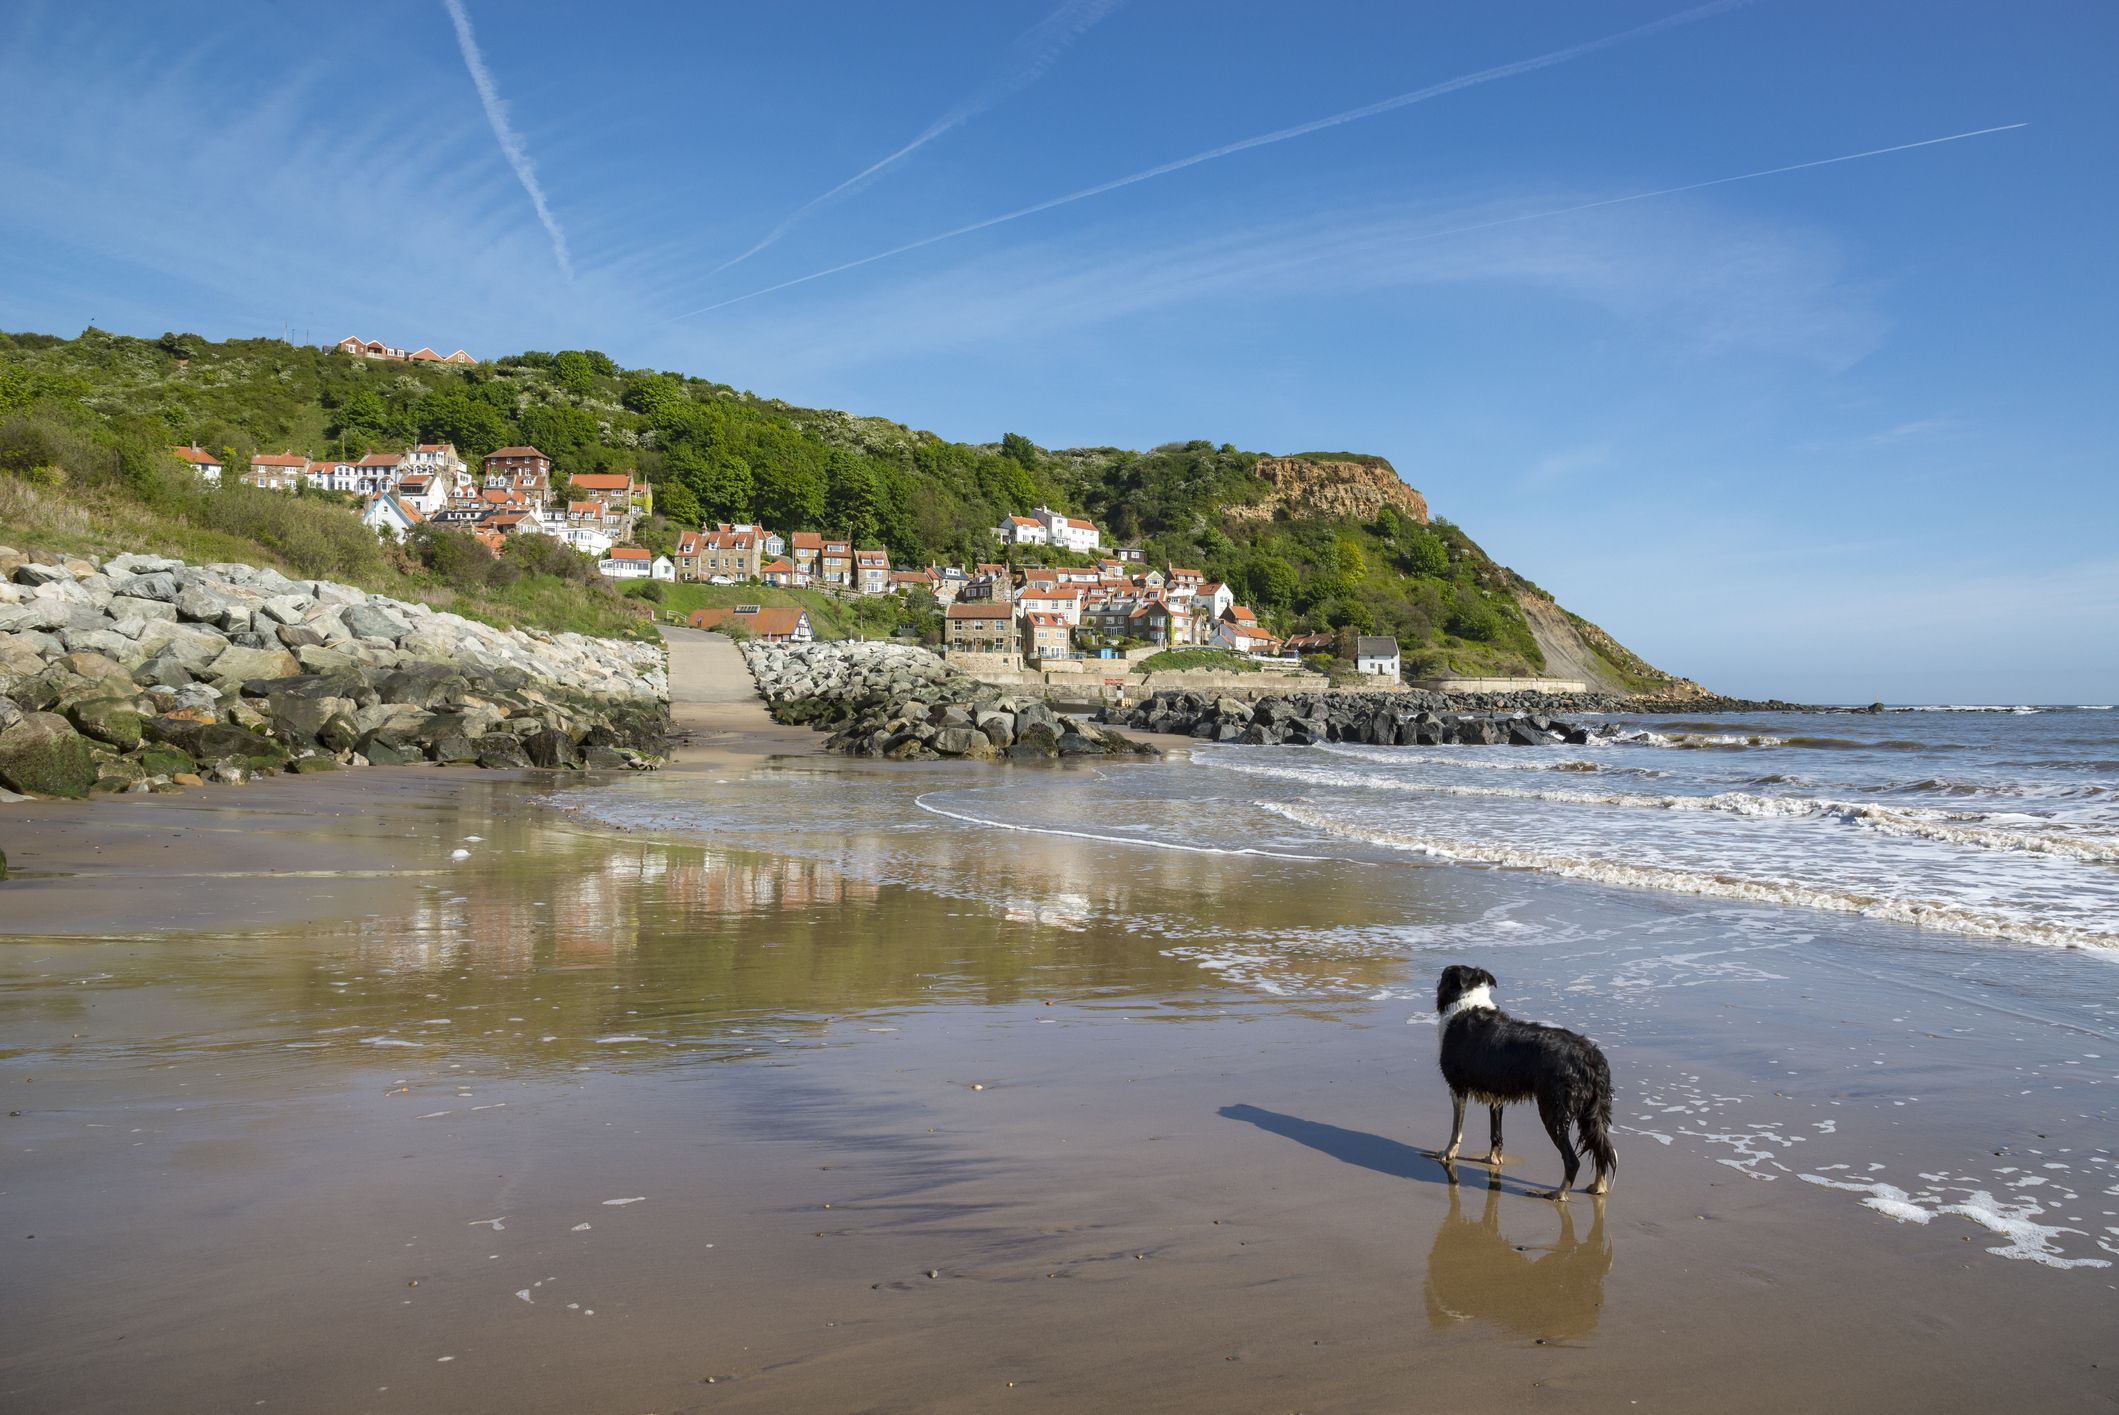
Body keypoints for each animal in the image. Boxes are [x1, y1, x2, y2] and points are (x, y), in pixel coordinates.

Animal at [1432, 957, 1610, 1203]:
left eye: (1443, 976)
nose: (1435, 981)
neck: (1466, 1001)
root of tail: (1591, 1057)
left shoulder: (1457, 1086)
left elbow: (1455, 1129)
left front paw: (1447, 1154)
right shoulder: (1496, 1093)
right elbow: (1496, 1133)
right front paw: (1493, 1160)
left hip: (1553, 1108)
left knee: (1573, 1160)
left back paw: (1558, 1194)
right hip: (1593, 1111)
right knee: (1602, 1147)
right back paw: (1598, 1187)